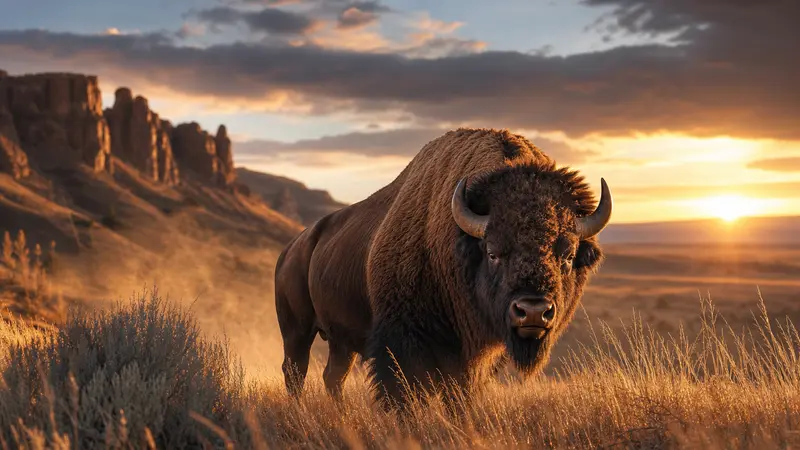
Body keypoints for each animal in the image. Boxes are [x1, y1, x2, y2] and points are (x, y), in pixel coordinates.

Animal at [274, 128, 612, 409]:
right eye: (492, 252)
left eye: (567, 255)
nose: (532, 311)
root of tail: (291, 248)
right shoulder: (403, 343)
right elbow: (405, 394)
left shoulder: (476, 357)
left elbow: (460, 395)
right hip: (297, 331)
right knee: (295, 371)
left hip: (341, 341)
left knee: (333, 376)